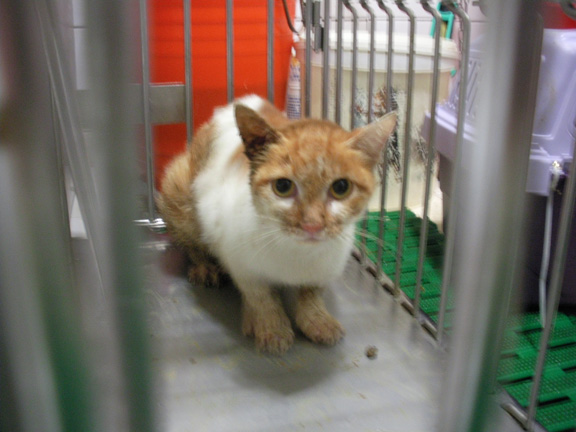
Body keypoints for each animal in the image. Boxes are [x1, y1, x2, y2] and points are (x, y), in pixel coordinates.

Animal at [157, 95, 396, 355]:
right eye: (282, 186)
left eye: (341, 187)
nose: (312, 224)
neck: (296, 254)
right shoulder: (238, 260)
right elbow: (261, 295)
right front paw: (271, 327)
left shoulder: (326, 268)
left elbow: (311, 292)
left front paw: (316, 319)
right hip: (178, 190)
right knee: (190, 241)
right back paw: (205, 267)